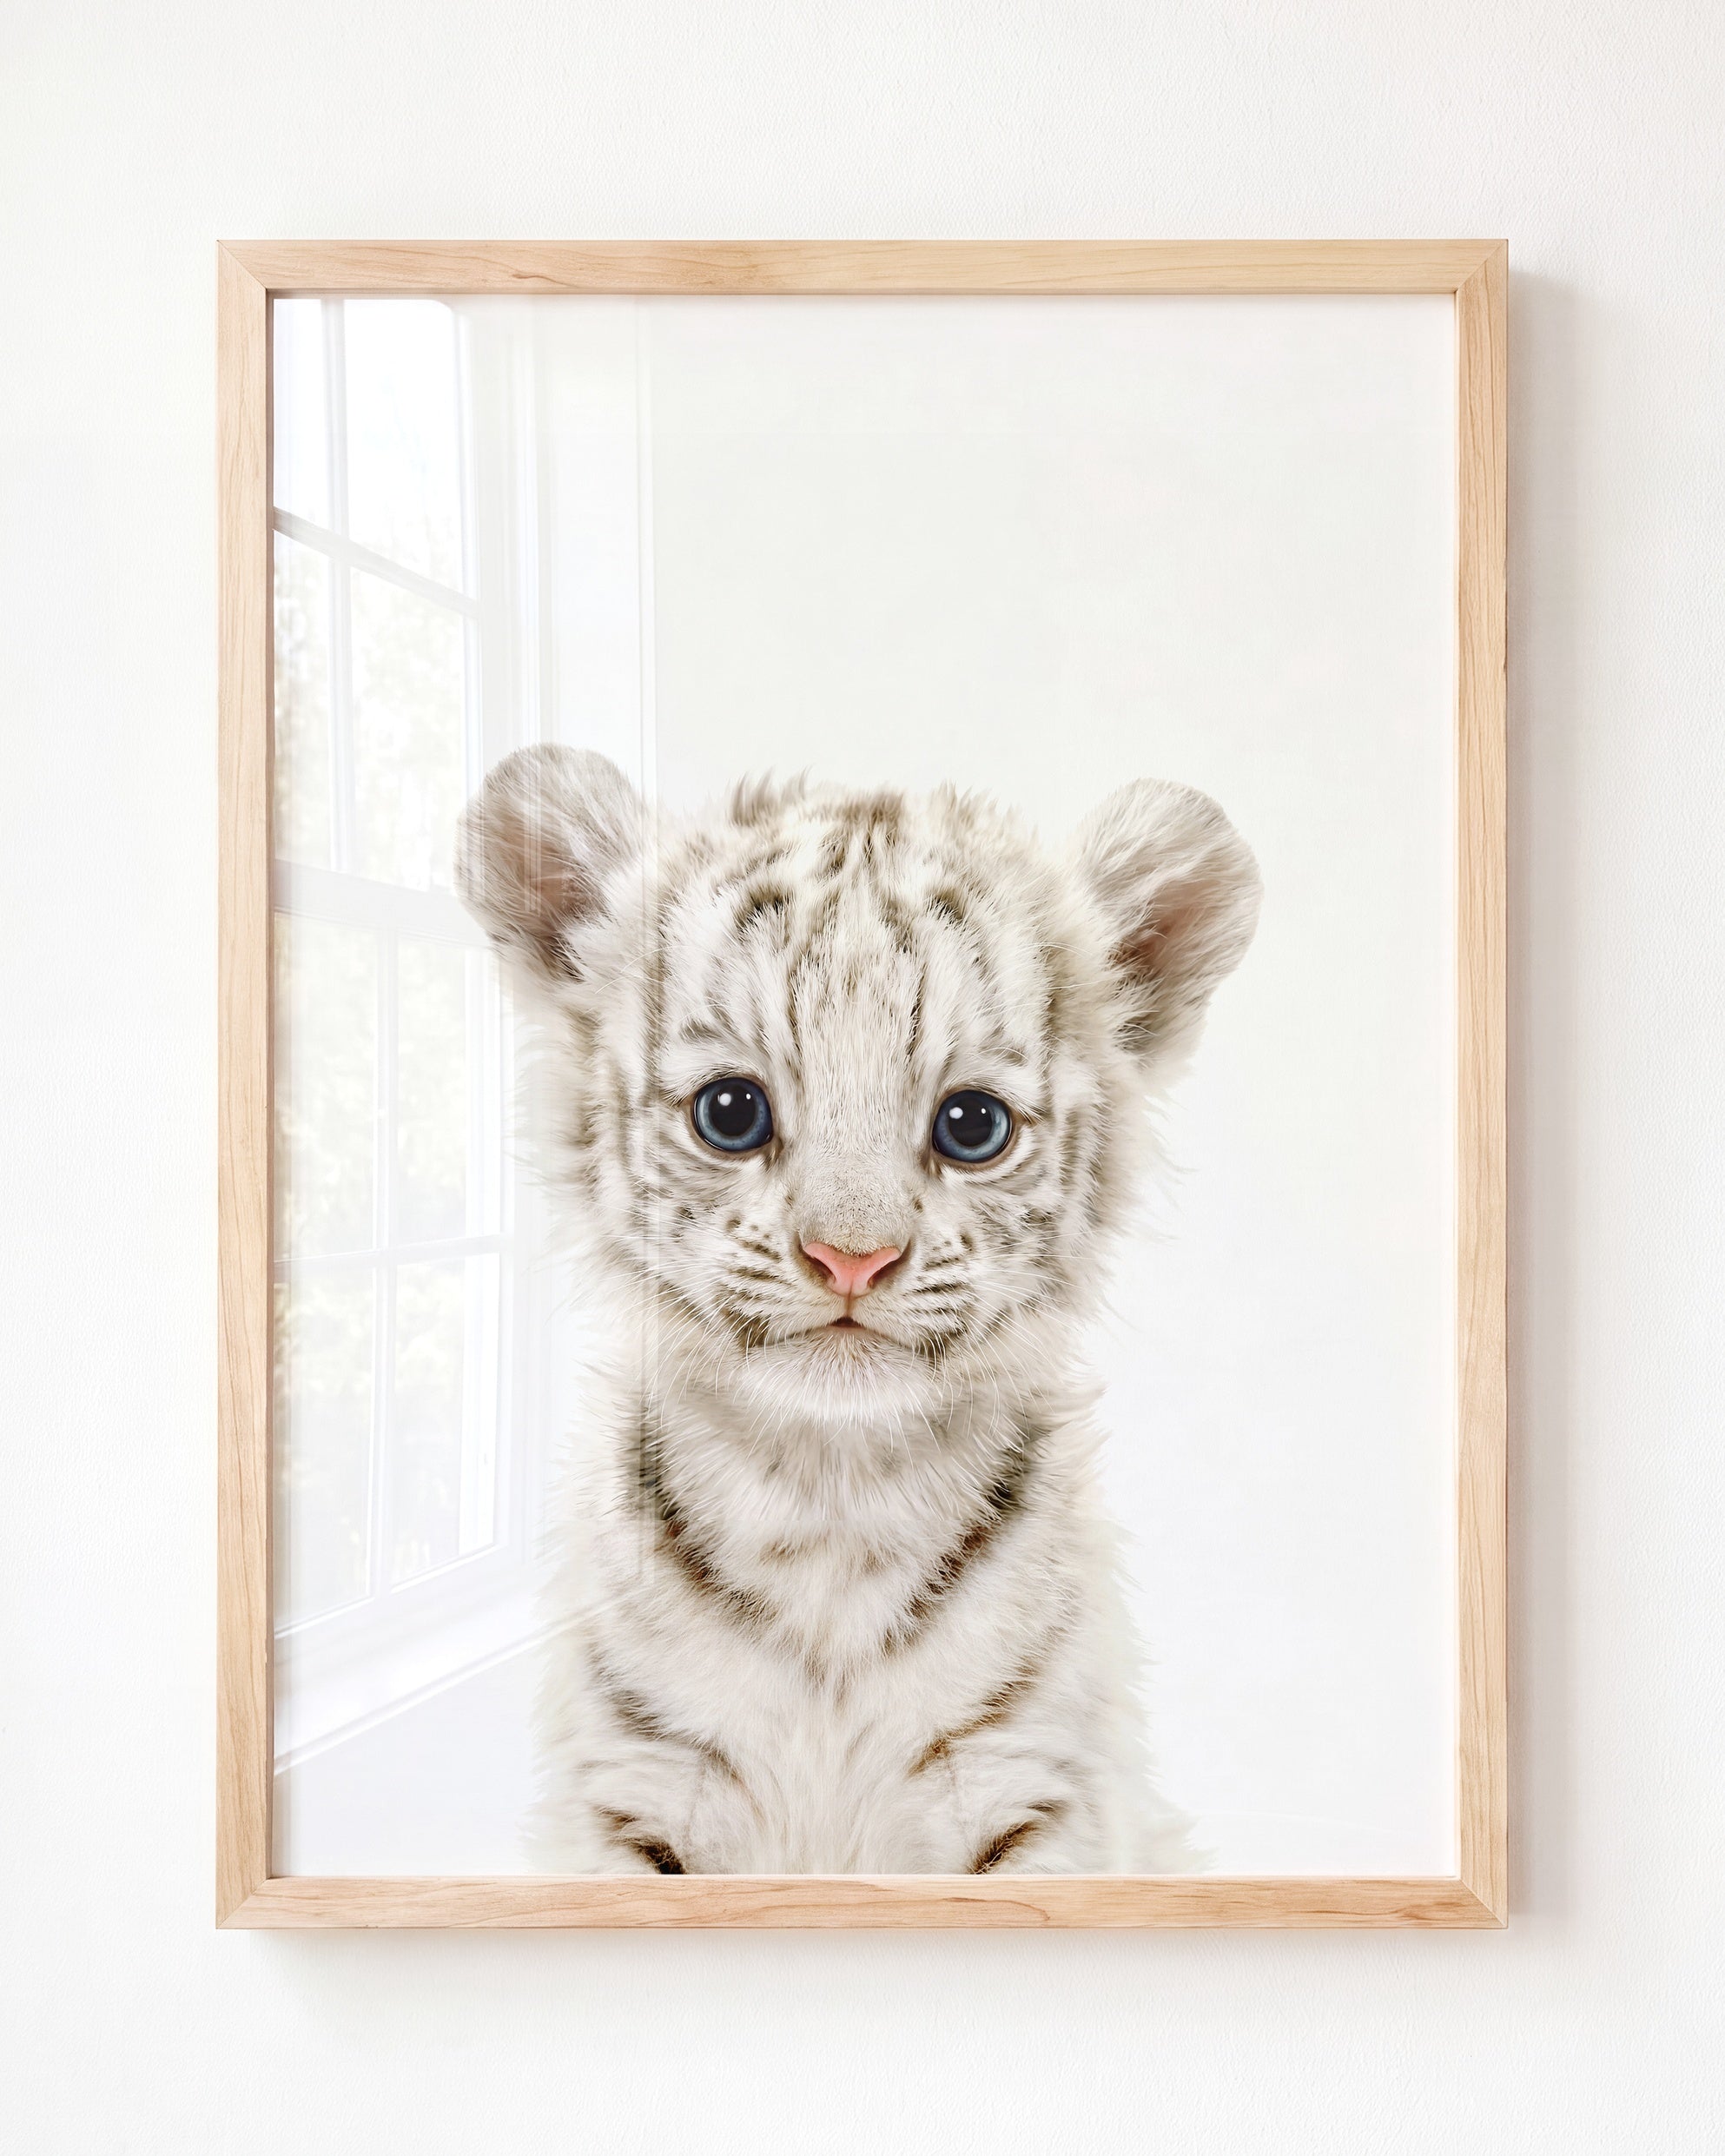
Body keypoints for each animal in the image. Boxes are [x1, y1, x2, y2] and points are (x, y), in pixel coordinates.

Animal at [457, 745, 1260, 1874]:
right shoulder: (631, 1795)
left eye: (973, 1125)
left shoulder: (1036, 1794)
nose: (852, 1257)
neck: (829, 1505)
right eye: (731, 1112)